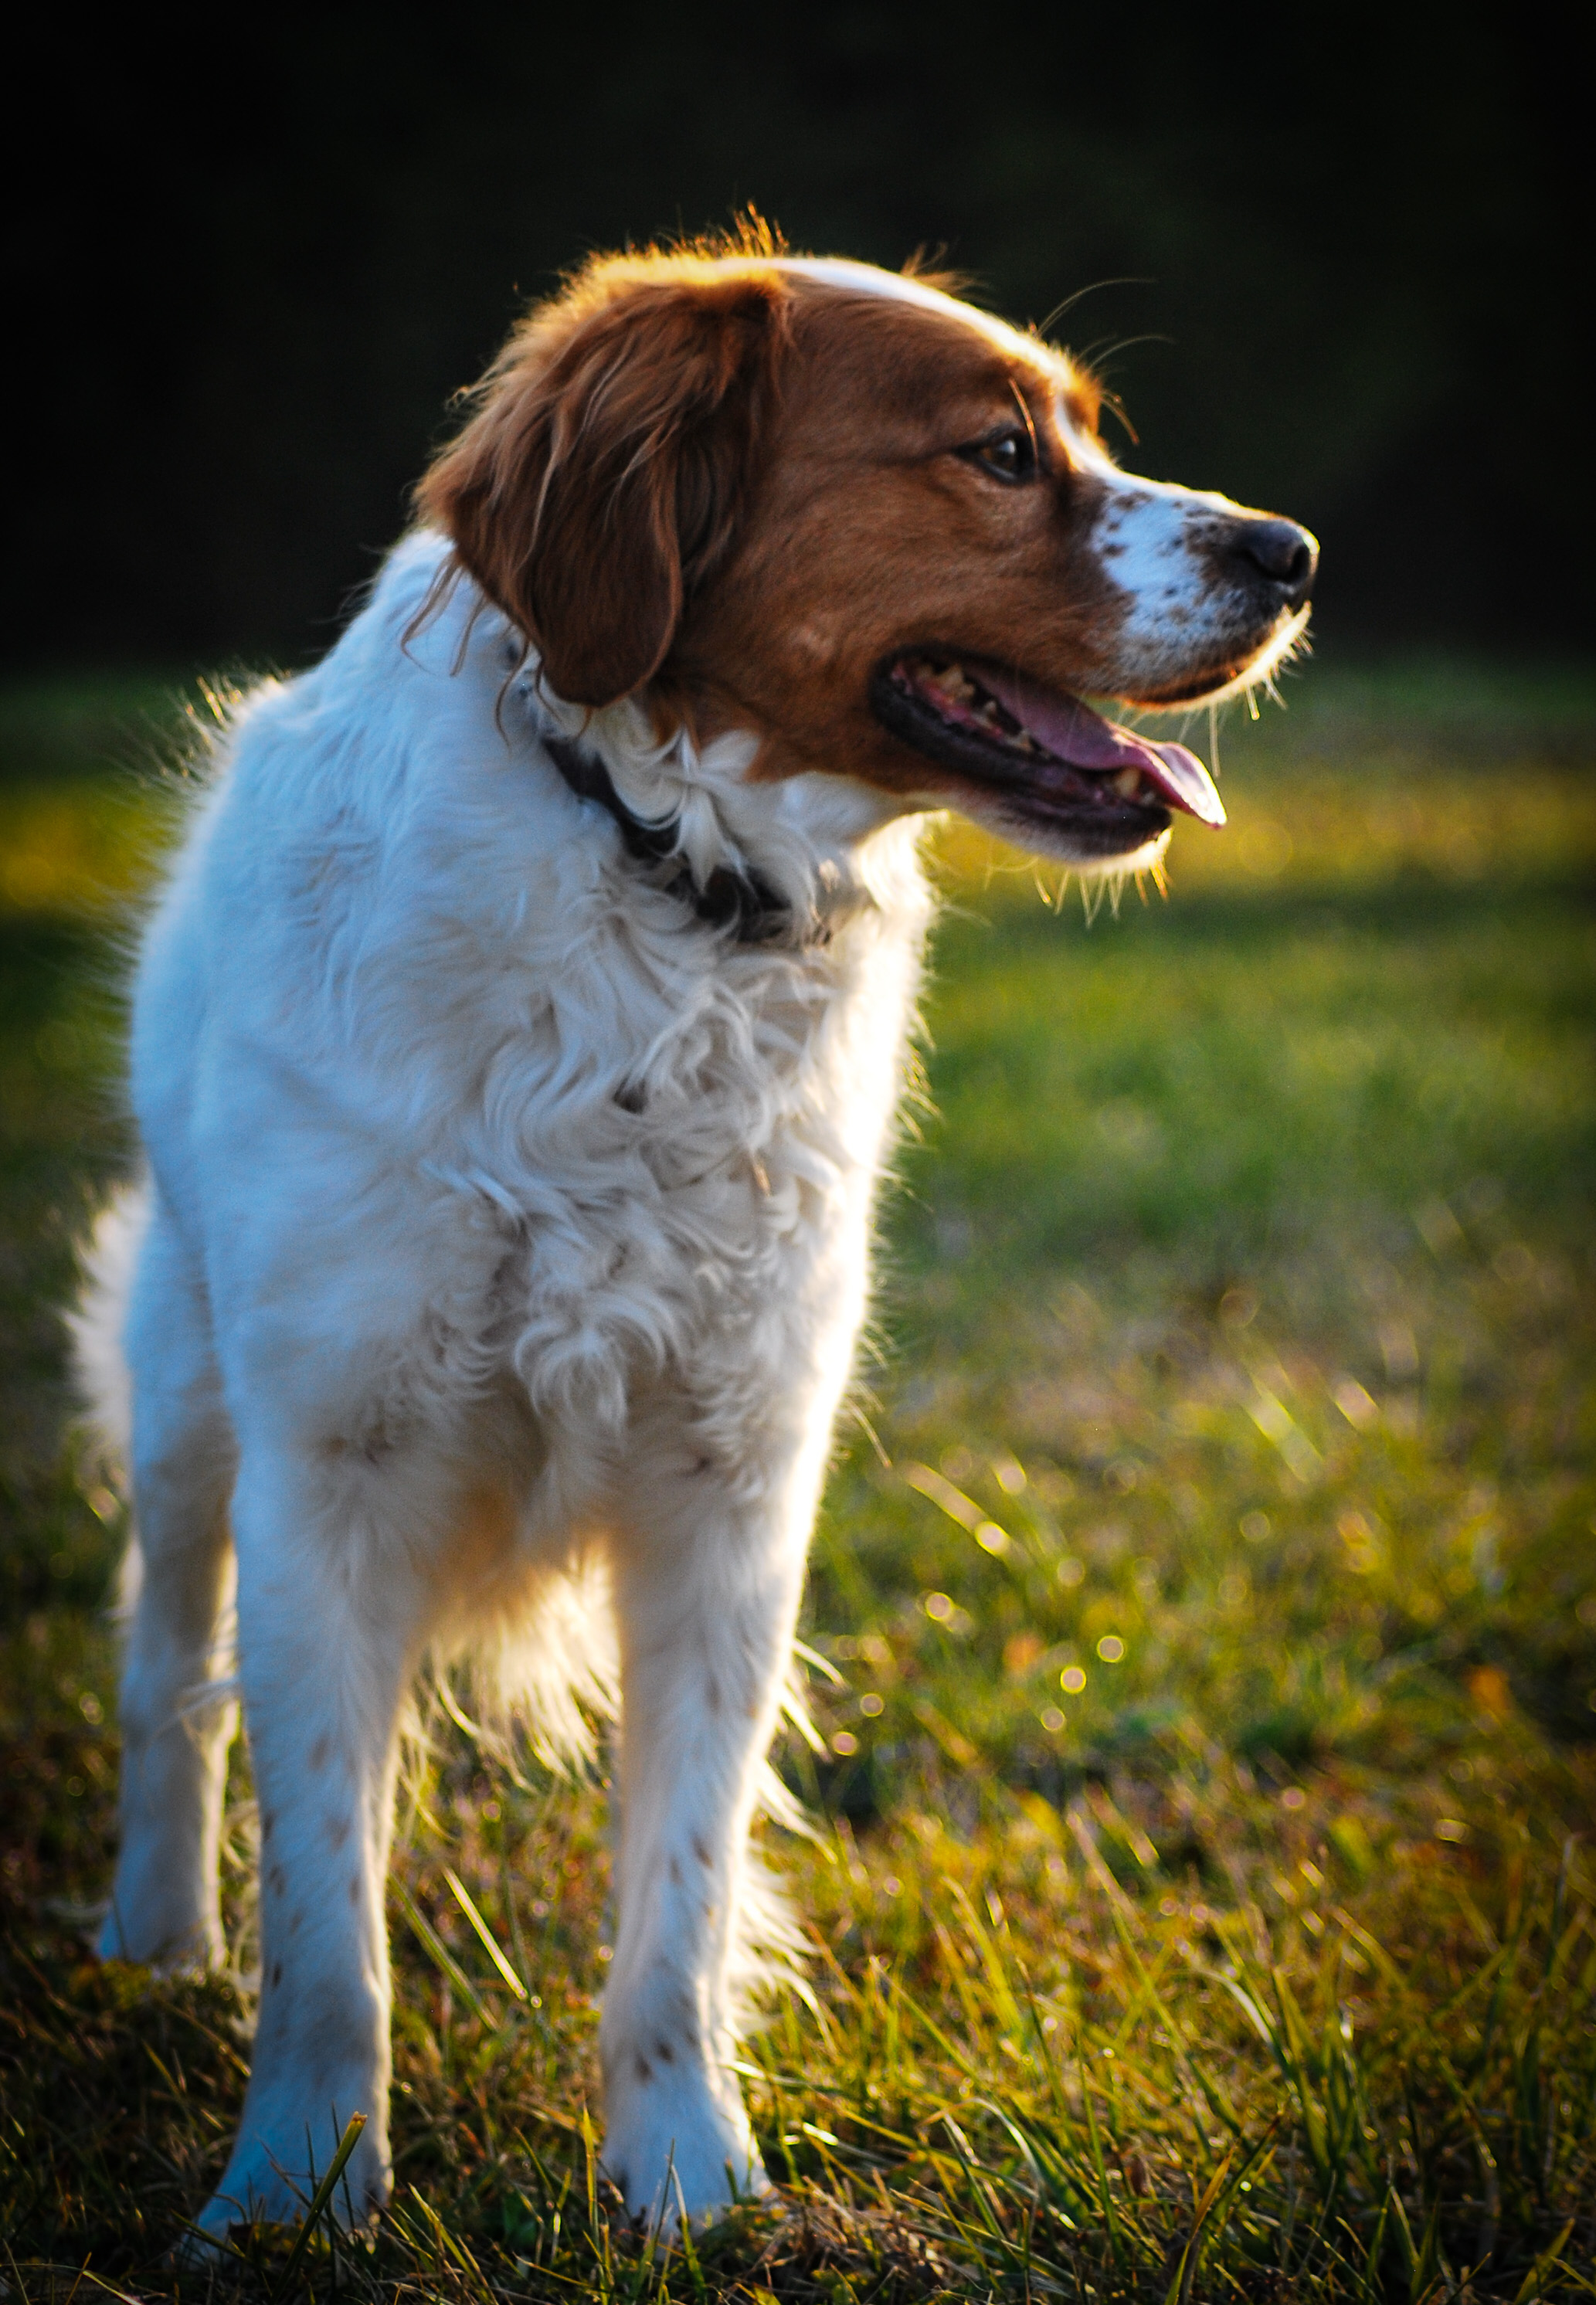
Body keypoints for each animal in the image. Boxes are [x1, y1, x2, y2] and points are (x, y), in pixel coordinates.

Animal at [71, 224, 1309, 2240]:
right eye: (996, 453)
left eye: (1080, 431)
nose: (1290, 554)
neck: (659, 886)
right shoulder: (330, 1470)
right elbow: (329, 1916)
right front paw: (296, 2194)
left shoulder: (732, 1486)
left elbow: (681, 1892)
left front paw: (685, 2183)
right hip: (186, 1397)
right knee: (163, 1669)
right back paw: (152, 1937)